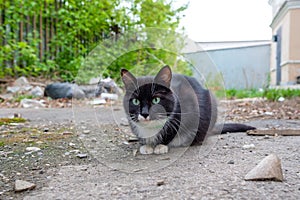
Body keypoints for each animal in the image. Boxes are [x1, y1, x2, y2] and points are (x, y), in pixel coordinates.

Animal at [120, 65, 254, 155]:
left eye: (156, 100)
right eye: (135, 101)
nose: (144, 113)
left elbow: (171, 131)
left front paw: (160, 145)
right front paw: (147, 145)